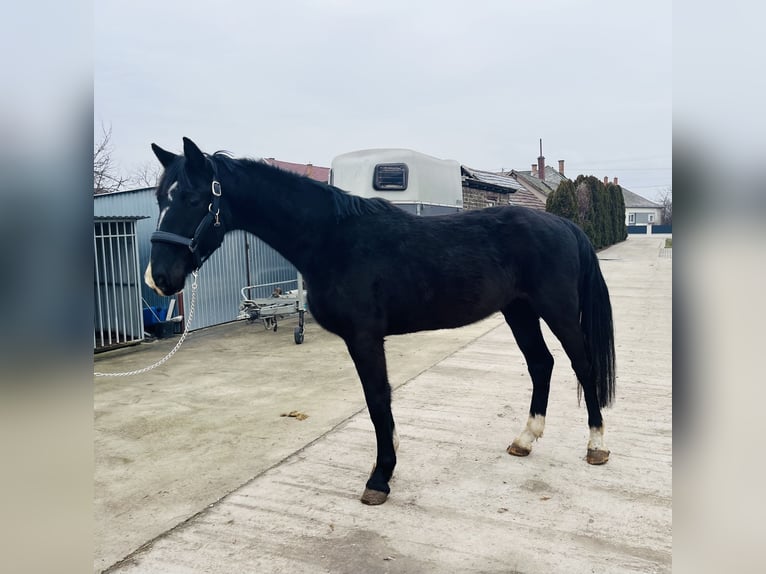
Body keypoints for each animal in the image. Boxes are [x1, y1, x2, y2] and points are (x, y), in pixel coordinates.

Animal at [145, 137, 616, 505]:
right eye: (160, 199)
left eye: (192, 199)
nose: (160, 278)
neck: (333, 239)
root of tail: (565, 226)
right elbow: (379, 403)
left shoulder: (365, 337)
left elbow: (377, 401)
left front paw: (380, 477)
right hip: (519, 311)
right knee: (541, 364)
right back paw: (525, 440)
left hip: (556, 311)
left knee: (582, 364)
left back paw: (596, 445)